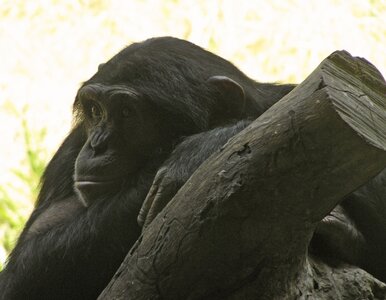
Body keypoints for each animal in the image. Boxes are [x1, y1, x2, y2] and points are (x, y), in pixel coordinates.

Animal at [0, 37, 294, 300]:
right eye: (96, 110)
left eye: (127, 113)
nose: (97, 146)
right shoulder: (72, 147)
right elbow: (21, 268)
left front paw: (200, 149)